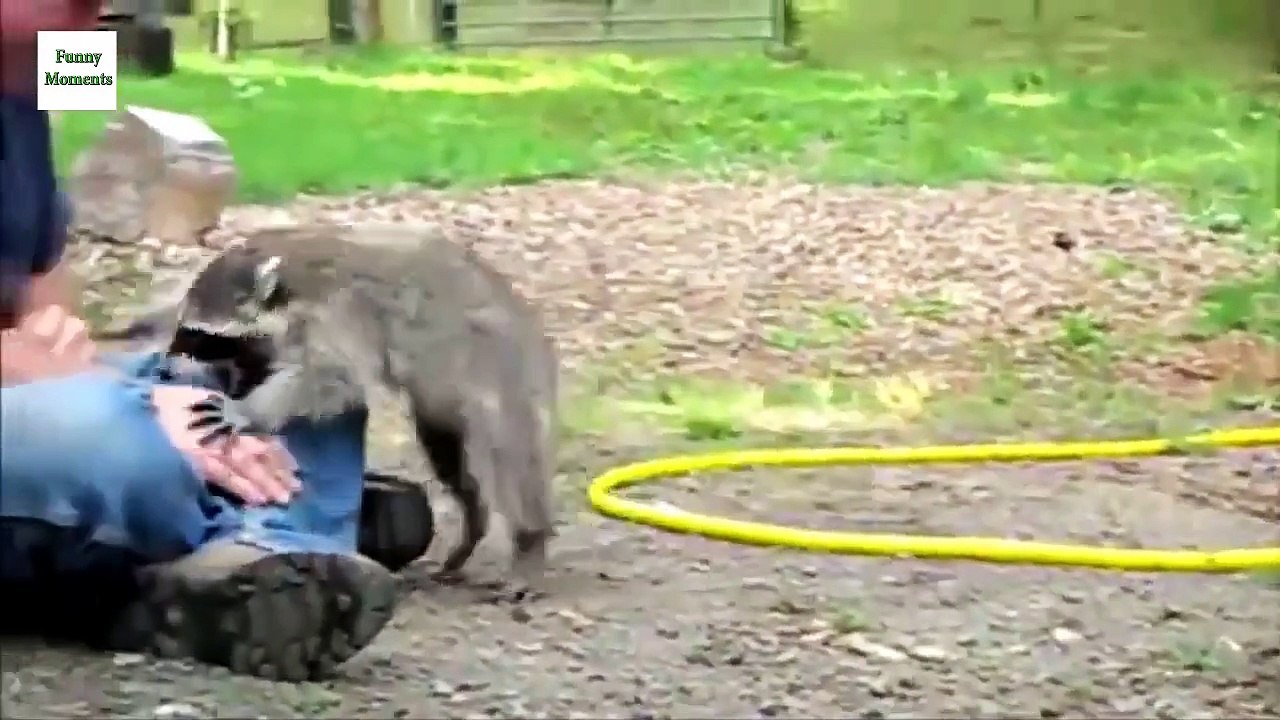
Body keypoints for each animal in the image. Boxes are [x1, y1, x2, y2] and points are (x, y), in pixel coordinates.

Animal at [134, 223, 560, 590]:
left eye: (202, 336)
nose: (168, 363)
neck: (286, 281)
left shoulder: (339, 311)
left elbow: (334, 379)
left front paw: (250, 410)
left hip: (497, 373)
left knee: (507, 460)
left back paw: (529, 539)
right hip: (447, 408)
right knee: (457, 463)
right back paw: (475, 525)